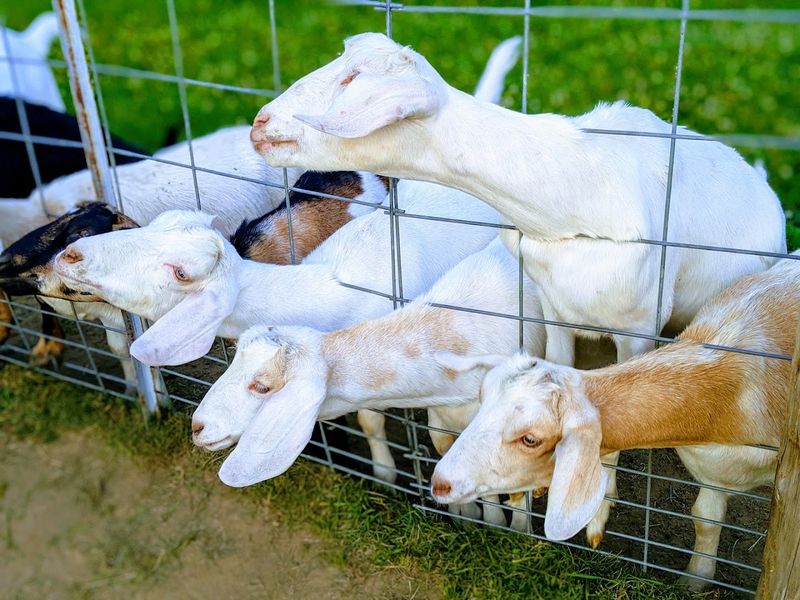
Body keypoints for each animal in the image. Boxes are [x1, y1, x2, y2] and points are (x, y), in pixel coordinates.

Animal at [190, 239, 545, 526]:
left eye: (262, 387)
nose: (196, 426)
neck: (458, 332)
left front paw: (507, 528)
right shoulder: (441, 414)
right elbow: (446, 450)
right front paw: (467, 518)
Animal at [249, 32, 786, 545]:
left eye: (352, 78)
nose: (259, 123)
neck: (574, 192)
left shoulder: (638, 327)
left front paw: (592, 521)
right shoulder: (553, 309)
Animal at [431, 252, 799, 590]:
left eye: (530, 439)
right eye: (482, 400)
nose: (439, 483)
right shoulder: (714, 472)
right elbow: (705, 519)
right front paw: (694, 581)